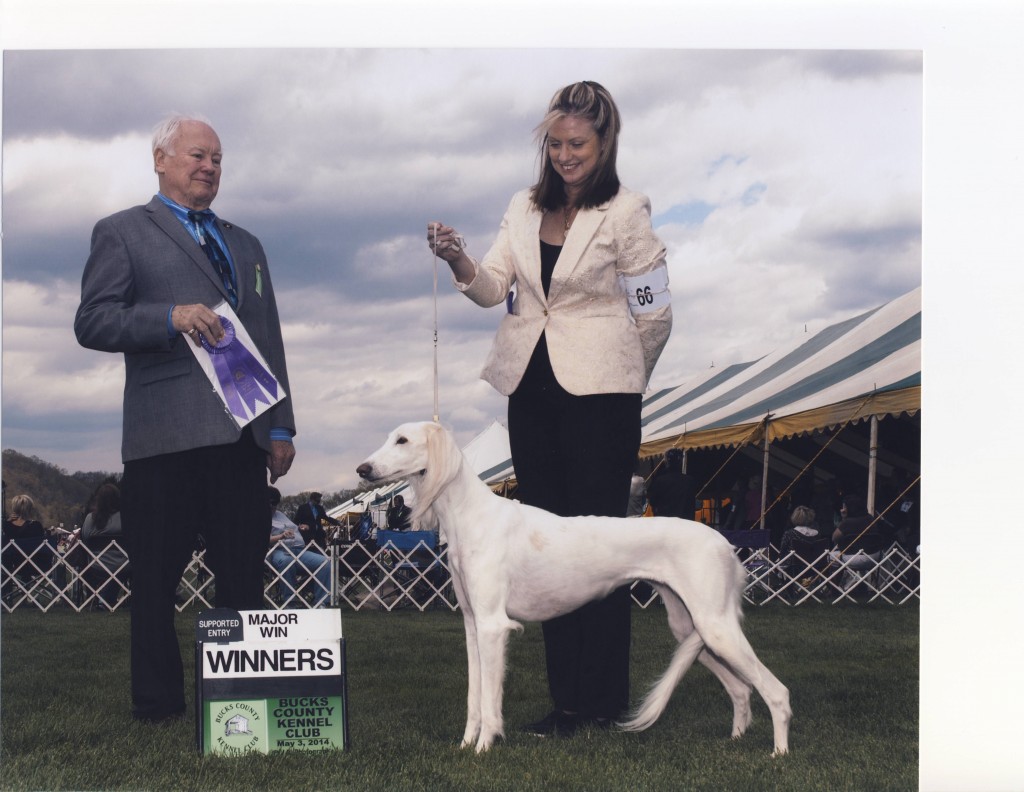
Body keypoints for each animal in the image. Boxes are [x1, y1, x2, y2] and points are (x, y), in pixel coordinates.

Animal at [356, 424, 794, 758]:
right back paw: (735, 739)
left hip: (715, 627)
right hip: (692, 629)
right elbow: (473, 698)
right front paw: (466, 745)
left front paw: (483, 748)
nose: (362, 469)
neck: (472, 515)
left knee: (777, 692)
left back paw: (779, 753)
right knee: (741, 688)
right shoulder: (472, 625)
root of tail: (725, 544)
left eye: (402, 440)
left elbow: (489, 699)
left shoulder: (493, 626)